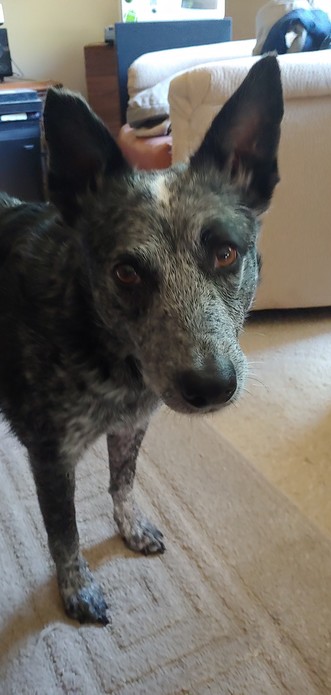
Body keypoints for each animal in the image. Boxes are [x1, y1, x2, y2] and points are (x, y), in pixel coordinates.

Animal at [0, 55, 286, 624]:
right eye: (127, 272)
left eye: (225, 253)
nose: (211, 387)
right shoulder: (51, 455)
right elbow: (64, 534)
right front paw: (77, 590)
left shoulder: (131, 423)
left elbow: (123, 481)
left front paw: (130, 528)